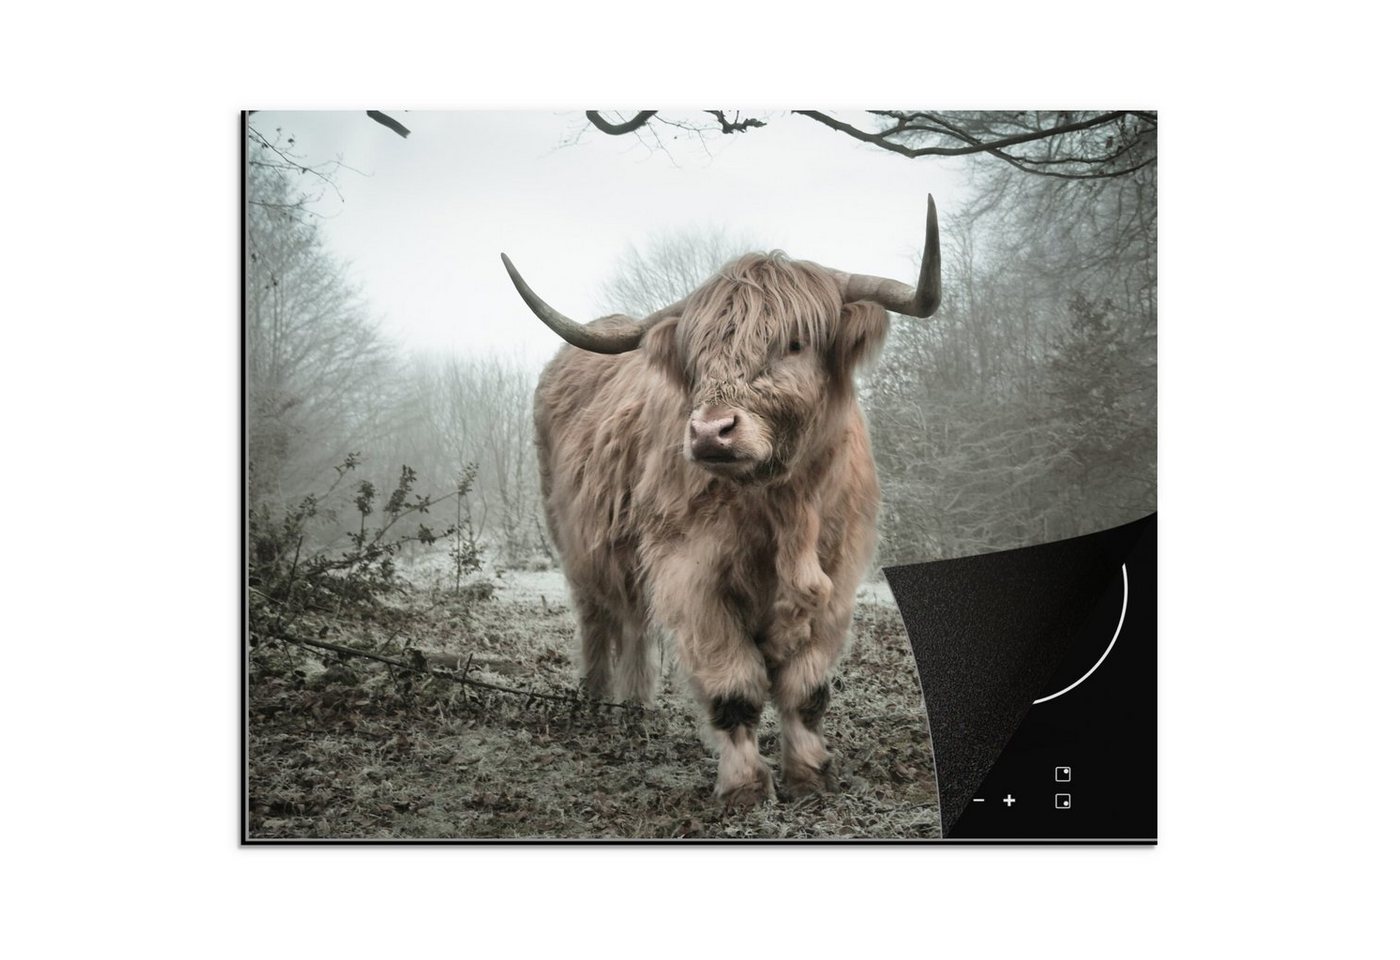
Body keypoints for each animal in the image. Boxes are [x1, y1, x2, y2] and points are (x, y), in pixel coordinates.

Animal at [501, 197, 941, 807]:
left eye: (795, 343)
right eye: (699, 354)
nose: (711, 432)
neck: (784, 508)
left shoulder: (838, 575)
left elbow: (806, 689)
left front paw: (810, 775)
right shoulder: (691, 575)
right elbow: (735, 687)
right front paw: (745, 788)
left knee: (634, 624)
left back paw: (634, 708)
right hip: (576, 544)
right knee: (598, 619)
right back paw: (596, 702)